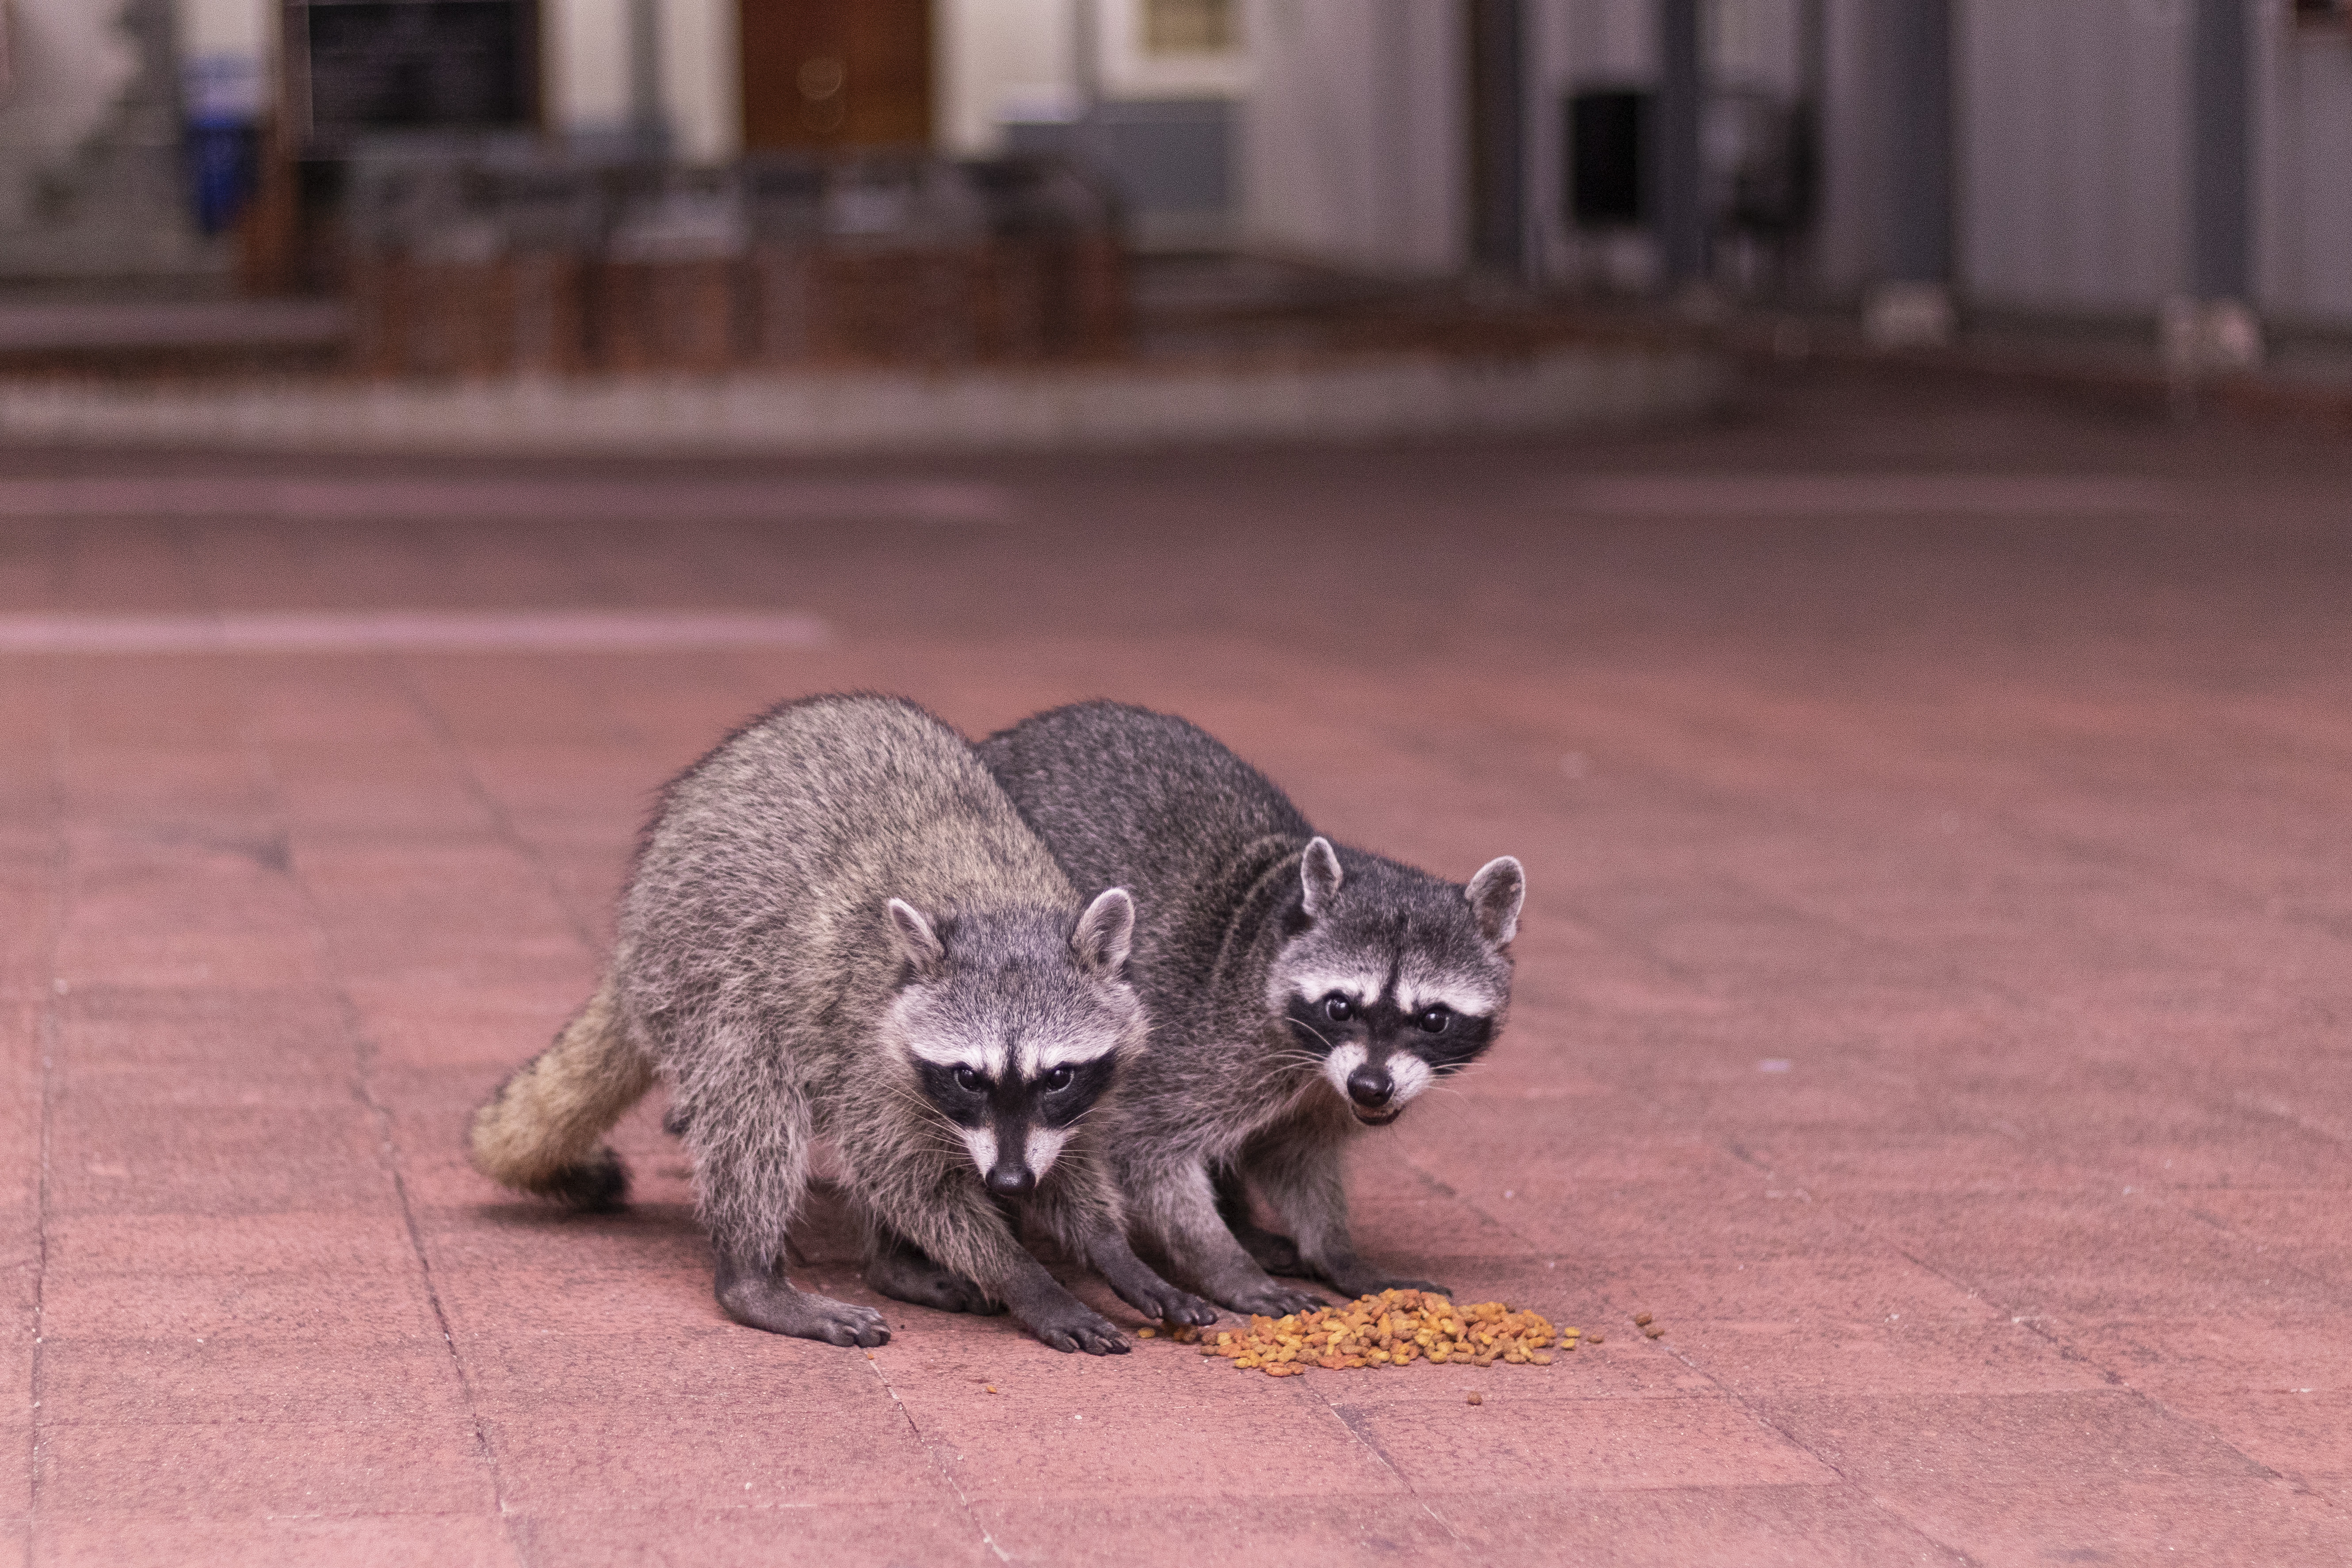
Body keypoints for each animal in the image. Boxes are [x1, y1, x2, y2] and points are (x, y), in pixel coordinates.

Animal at [470, 691, 1223, 1354]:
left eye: (1058, 1075)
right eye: (968, 1077)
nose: (1011, 1184)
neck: (996, 905)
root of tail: (631, 945)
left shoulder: (1084, 1081)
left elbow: (1071, 1156)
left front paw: (1112, 1249)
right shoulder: (870, 1040)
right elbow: (908, 1178)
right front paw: (1028, 1278)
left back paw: (891, 1264)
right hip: (701, 972)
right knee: (757, 1106)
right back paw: (753, 1278)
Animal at [974, 705, 1524, 1316]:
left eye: (1432, 1019)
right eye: (1340, 1006)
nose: (1371, 1086)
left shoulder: (1321, 1091)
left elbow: (1296, 1157)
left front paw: (1336, 1250)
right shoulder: (1200, 1043)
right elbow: (1148, 1151)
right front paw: (1224, 1263)